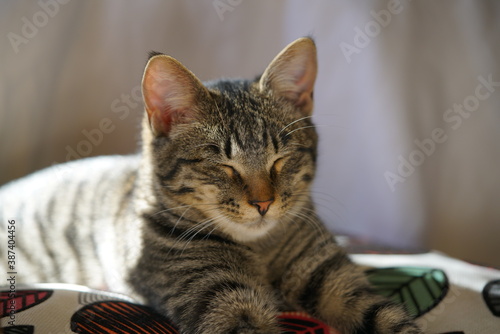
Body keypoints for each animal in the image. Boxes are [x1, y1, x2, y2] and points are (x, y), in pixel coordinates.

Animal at [0, 37, 422, 332]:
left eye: (280, 159)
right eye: (223, 165)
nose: (263, 203)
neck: (260, 252)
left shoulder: (336, 282)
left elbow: (392, 320)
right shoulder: (223, 300)